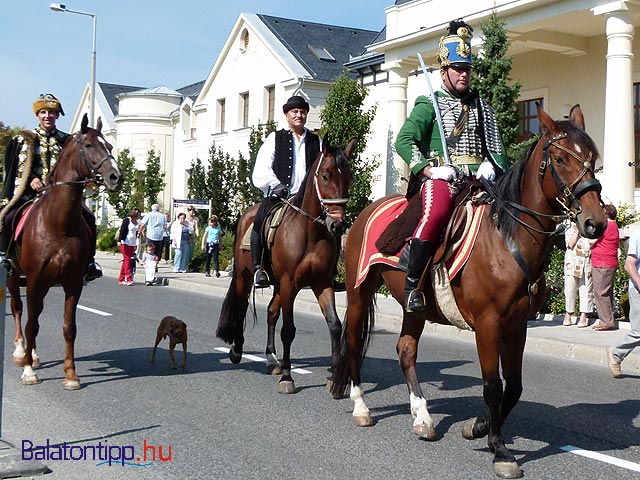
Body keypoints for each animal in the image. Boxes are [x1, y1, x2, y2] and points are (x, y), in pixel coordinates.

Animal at [8, 115, 122, 390]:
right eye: (89, 145)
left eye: (109, 146)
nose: (116, 177)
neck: (57, 223)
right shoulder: (34, 280)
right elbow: (30, 324)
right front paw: (28, 370)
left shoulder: (72, 282)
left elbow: (69, 327)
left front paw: (71, 374)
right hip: (14, 276)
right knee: (19, 309)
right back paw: (21, 352)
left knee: (35, 313)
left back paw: (33, 355)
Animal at [215, 135, 356, 394]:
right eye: (326, 175)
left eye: (348, 178)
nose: (337, 224)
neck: (310, 232)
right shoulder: (290, 283)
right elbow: (288, 330)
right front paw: (288, 378)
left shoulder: (322, 283)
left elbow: (334, 324)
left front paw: (334, 377)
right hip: (245, 276)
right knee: (241, 307)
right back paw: (237, 351)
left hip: (278, 285)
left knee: (271, 312)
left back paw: (272, 360)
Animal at [330, 104, 604, 476]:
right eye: (560, 159)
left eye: (592, 157)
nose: (596, 222)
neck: (507, 239)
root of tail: (367, 210)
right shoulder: (488, 325)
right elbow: (493, 387)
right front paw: (500, 450)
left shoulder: (517, 327)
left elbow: (514, 387)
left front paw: (477, 427)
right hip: (360, 292)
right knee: (355, 343)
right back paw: (362, 408)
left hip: (414, 306)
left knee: (406, 350)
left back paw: (422, 416)